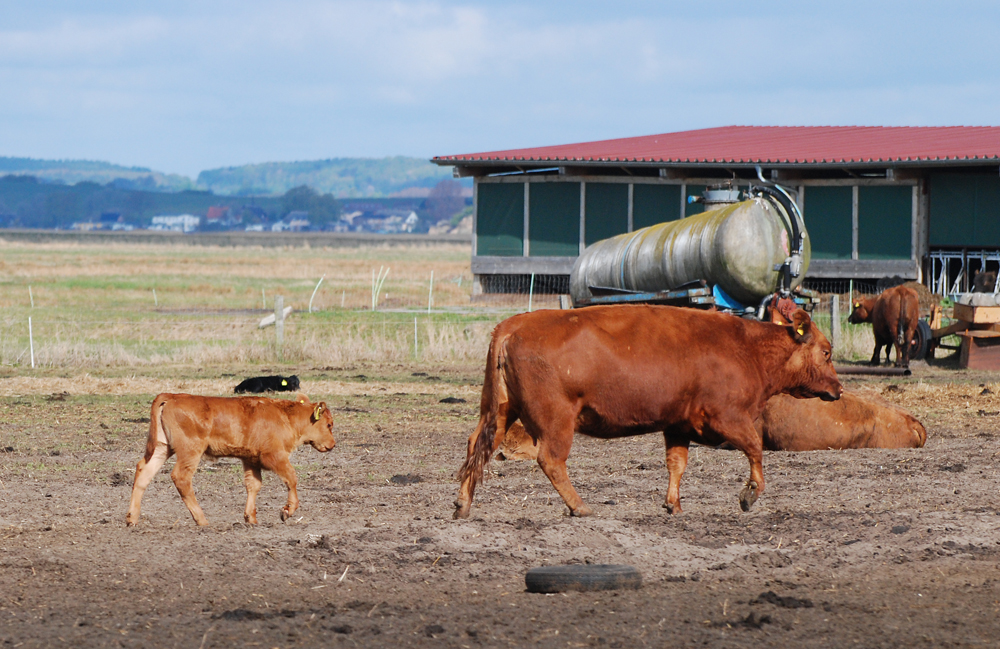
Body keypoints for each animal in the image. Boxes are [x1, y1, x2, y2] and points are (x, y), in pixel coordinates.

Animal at [124, 390, 336, 528]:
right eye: (329, 424)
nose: (333, 444)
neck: (287, 417)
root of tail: (172, 396)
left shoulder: (250, 459)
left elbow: (253, 485)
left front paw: (251, 518)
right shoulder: (275, 456)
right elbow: (291, 478)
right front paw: (287, 511)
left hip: (162, 448)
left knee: (143, 471)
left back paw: (132, 519)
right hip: (190, 451)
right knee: (181, 478)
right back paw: (202, 520)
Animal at [456, 302, 844, 520]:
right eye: (826, 351)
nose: (839, 389)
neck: (748, 348)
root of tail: (514, 324)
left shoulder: (677, 424)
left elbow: (677, 464)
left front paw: (674, 505)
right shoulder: (728, 417)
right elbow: (755, 449)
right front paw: (749, 494)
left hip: (499, 410)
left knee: (476, 447)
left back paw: (463, 504)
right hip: (555, 421)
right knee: (551, 460)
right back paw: (580, 506)